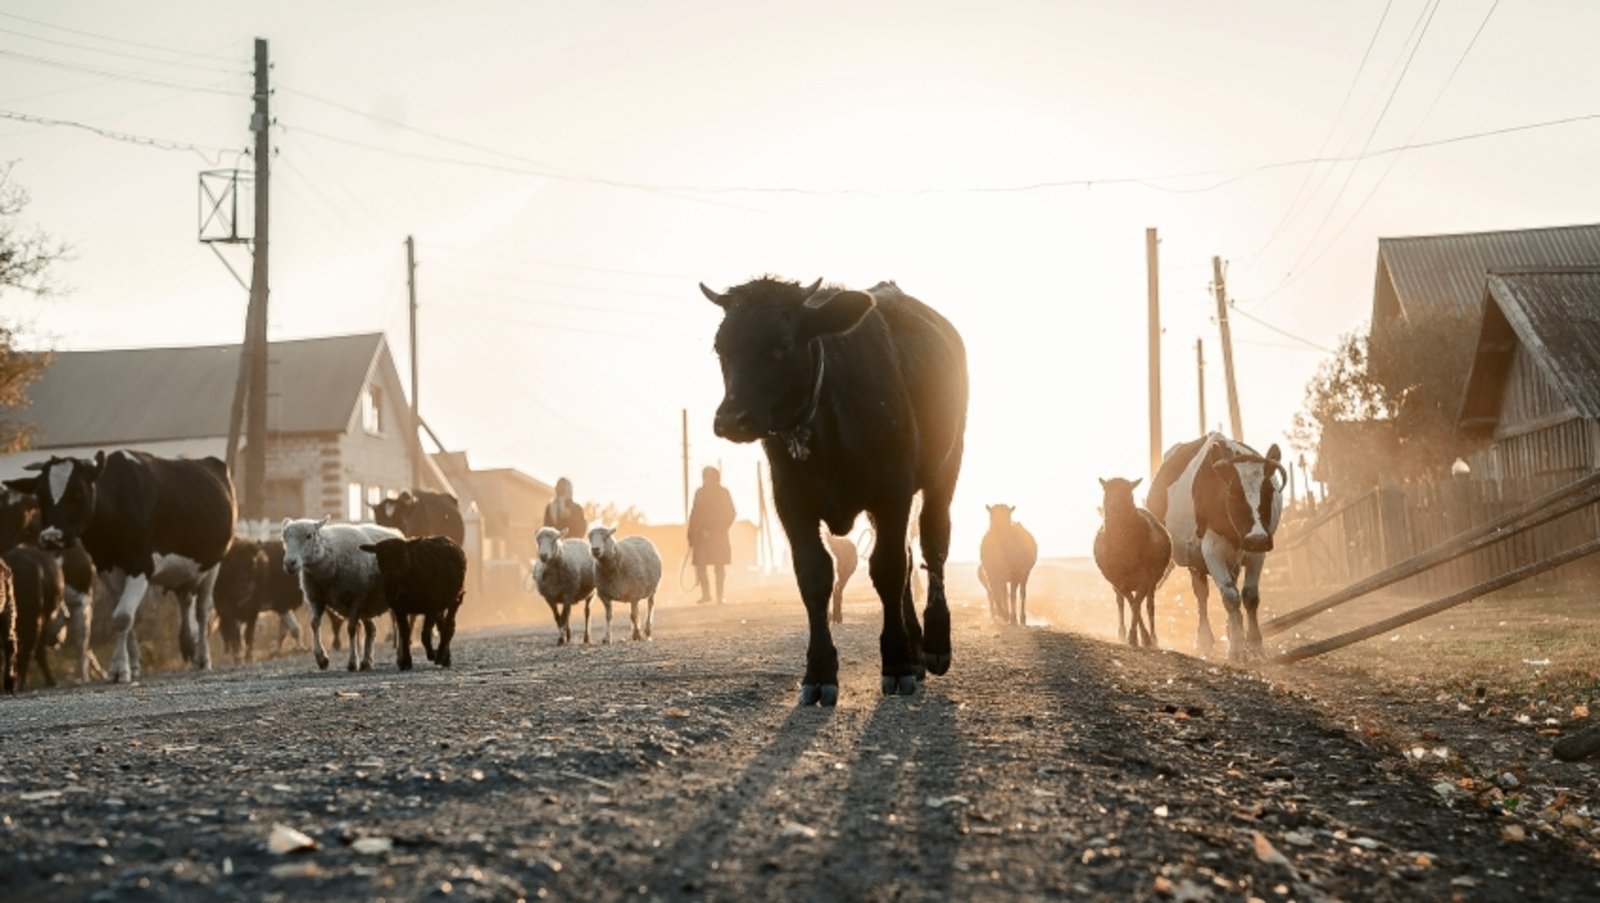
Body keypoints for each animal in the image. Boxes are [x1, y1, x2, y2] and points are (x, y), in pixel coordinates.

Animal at [1, 448, 236, 682]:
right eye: (41, 494)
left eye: (79, 491)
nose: (52, 538)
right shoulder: (108, 569)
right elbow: (123, 618)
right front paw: (132, 664)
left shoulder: (140, 566)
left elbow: (123, 616)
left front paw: (119, 669)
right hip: (184, 571)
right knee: (185, 601)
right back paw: (188, 643)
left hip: (213, 565)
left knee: (203, 610)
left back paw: (202, 658)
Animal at [278, 515, 400, 669]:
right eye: (284, 538)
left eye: (309, 536)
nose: (289, 563)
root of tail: (395, 531)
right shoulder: (316, 599)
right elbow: (314, 624)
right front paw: (321, 658)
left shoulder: (356, 597)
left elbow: (351, 628)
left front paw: (352, 662)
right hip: (367, 604)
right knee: (371, 629)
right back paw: (366, 661)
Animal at [360, 534, 467, 669]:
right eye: (380, 557)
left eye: (403, 555)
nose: (391, 575)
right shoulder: (399, 609)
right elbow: (405, 633)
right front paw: (406, 661)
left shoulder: (431, 607)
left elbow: (425, 634)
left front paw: (432, 654)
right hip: (441, 605)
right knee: (443, 627)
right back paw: (445, 658)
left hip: (455, 599)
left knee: (448, 627)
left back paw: (440, 655)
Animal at [704, 275, 972, 704]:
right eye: (721, 347)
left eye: (782, 344)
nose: (731, 419)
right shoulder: (790, 502)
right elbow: (814, 576)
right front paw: (819, 672)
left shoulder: (893, 492)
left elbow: (887, 569)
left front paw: (897, 664)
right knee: (910, 554)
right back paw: (916, 648)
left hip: (945, 469)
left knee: (932, 545)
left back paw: (932, 644)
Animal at [1152, 432, 1286, 659]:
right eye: (1232, 493)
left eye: (1269, 491)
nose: (1257, 538)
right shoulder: (1211, 550)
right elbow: (1230, 596)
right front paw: (1236, 649)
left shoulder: (1257, 552)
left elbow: (1250, 596)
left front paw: (1255, 646)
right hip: (1193, 559)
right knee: (1202, 596)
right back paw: (1204, 640)